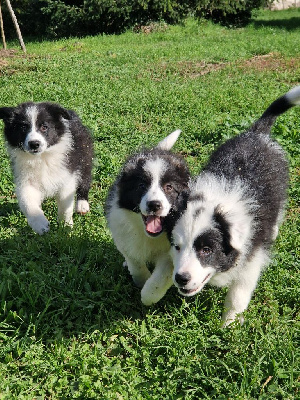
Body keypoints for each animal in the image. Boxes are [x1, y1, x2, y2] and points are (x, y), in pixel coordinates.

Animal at [0, 100, 93, 236]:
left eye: (44, 127)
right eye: (23, 128)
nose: (34, 144)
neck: (42, 157)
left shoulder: (67, 175)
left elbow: (65, 204)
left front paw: (66, 226)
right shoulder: (25, 179)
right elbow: (27, 201)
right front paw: (40, 225)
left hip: (85, 156)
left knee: (85, 180)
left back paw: (82, 205)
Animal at [106, 130, 190, 304]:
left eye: (169, 187)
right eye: (141, 186)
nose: (154, 205)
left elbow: (162, 275)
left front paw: (148, 296)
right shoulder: (124, 235)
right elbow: (135, 261)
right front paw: (142, 280)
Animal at [169, 86, 300, 326]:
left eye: (206, 250)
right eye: (177, 246)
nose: (181, 278)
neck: (217, 200)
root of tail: (256, 132)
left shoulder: (252, 258)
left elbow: (238, 294)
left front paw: (228, 326)